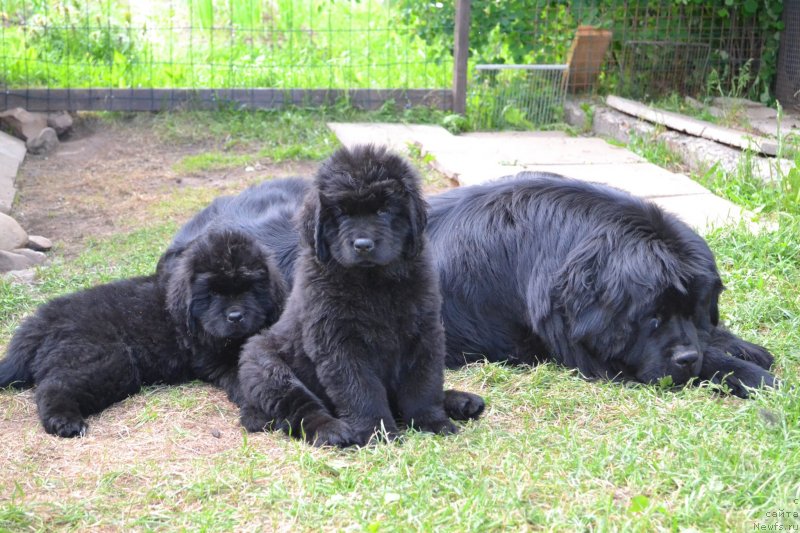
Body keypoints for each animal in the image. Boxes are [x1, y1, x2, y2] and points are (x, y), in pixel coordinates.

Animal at [0, 180, 300, 436]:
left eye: (249, 288)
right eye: (213, 293)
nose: (235, 316)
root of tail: (39, 322)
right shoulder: (213, 358)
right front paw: (260, 415)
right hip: (103, 357)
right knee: (53, 386)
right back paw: (64, 421)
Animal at [238, 144, 484, 444]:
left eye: (384, 210)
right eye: (342, 213)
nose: (363, 244)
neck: (373, 282)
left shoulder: (424, 330)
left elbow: (423, 384)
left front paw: (433, 422)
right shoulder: (339, 341)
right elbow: (362, 391)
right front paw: (379, 434)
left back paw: (461, 402)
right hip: (264, 366)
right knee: (302, 407)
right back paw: (333, 431)